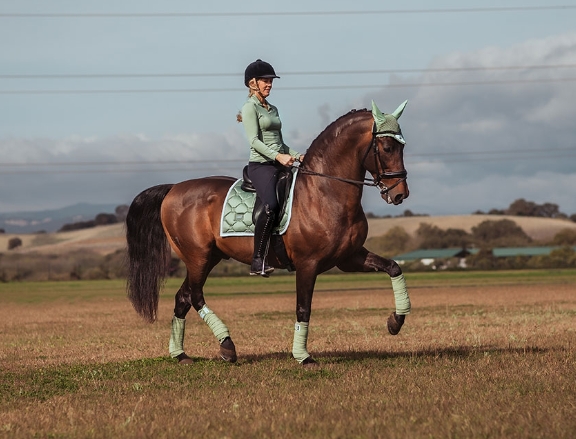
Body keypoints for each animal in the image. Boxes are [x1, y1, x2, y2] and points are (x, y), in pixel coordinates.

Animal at [127, 100, 414, 368]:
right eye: (387, 148)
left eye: (402, 147)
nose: (400, 194)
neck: (324, 192)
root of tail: (174, 188)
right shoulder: (307, 264)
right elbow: (303, 308)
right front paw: (303, 357)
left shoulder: (349, 258)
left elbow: (393, 267)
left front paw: (395, 322)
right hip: (198, 256)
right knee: (195, 296)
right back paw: (227, 346)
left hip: (209, 258)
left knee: (183, 297)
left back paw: (181, 354)